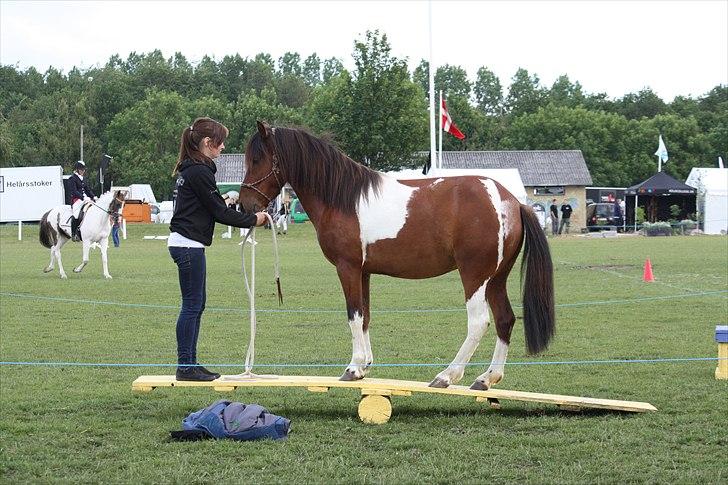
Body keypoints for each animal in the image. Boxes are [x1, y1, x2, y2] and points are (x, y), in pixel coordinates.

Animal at [242, 122, 556, 390]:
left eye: (257, 159)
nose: (245, 204)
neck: (344, 198)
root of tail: (511, 201)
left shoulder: (347, 267)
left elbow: (353, 315)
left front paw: (353, 368)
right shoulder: (364, 271)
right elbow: (365, 316)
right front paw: (364, 366)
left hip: (475, 275)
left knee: (479, 322)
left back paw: (447, 375)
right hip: (496, 278)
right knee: (505, 319)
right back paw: (486, 378)